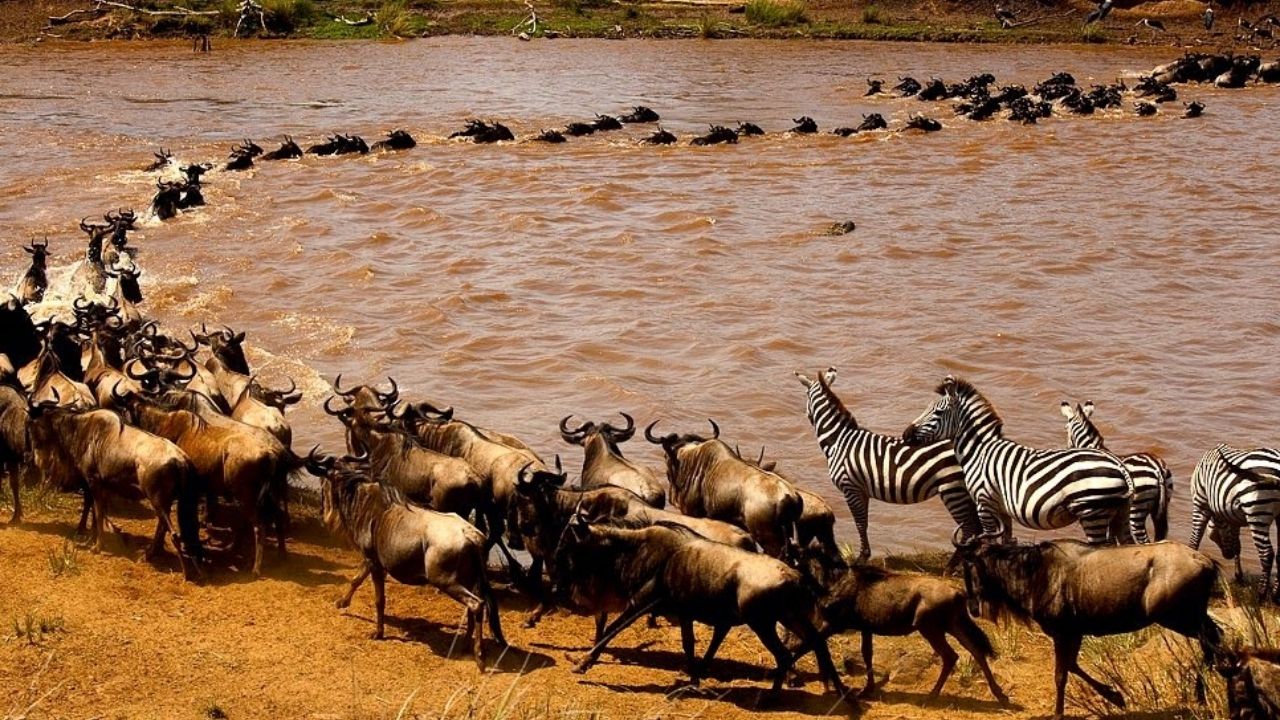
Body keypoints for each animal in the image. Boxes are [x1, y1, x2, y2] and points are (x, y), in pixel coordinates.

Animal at [794, 367, 981, 561]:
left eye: (806, 396)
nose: (808, 417)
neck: (839, 439)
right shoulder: (861, 490)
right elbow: (864, 523)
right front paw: (865, 554)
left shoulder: (850, 488)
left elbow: (859, 523)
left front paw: (861, 558)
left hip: (952, 489)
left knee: (969, 528)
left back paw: (955, 562)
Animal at [903, 376, 1135, 543]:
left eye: (937, 413)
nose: (905, 435)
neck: (979, 451)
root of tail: (1118, 465)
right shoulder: (1002, 508)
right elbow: (1005, 542)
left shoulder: (983, 502)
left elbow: (989, 543)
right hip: (1120, 514)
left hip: (1092, 512)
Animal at [1188, 444, 1280, 598]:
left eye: (1214, 536)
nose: (1227, 555)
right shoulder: (1233, 515)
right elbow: (1237, 544)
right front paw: (1238, 577)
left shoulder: (1200, 502)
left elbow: (1195, 538)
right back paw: (1275, 595)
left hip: (1257, 512)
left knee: (1266, 554)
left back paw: (1261, 595)